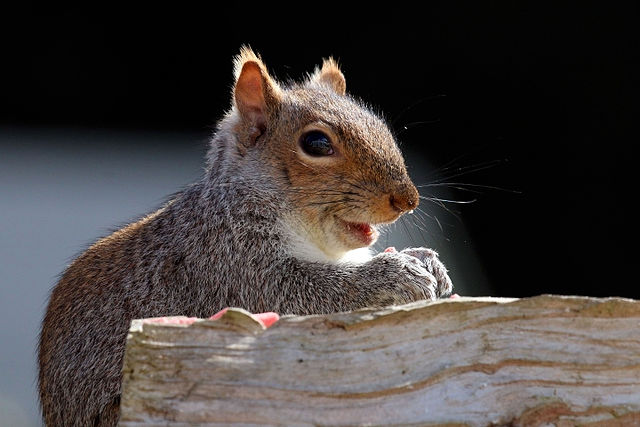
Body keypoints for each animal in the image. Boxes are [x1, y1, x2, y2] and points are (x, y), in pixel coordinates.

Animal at [37, 46, 452, 424]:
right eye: (316, 143)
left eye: (379, 126)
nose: (407, 200)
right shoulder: (230, 264)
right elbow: (304, 292)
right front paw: (397, 272)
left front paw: (427, 260)